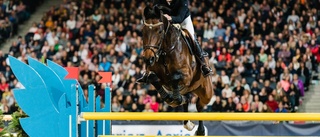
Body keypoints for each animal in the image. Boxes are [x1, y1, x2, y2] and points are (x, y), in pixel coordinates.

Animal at [141, 6, 212, 136]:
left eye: (160, 31)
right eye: (143, 31)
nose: (148, 59)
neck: (165, 52)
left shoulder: (186, 75)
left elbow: (174, 77)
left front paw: (173, 98)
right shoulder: (156, 75)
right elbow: (152, 77)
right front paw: (170, 97)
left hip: (206, 92)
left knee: (199, 106)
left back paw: (200, 131)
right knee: (187, 100)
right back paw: (187, 122)